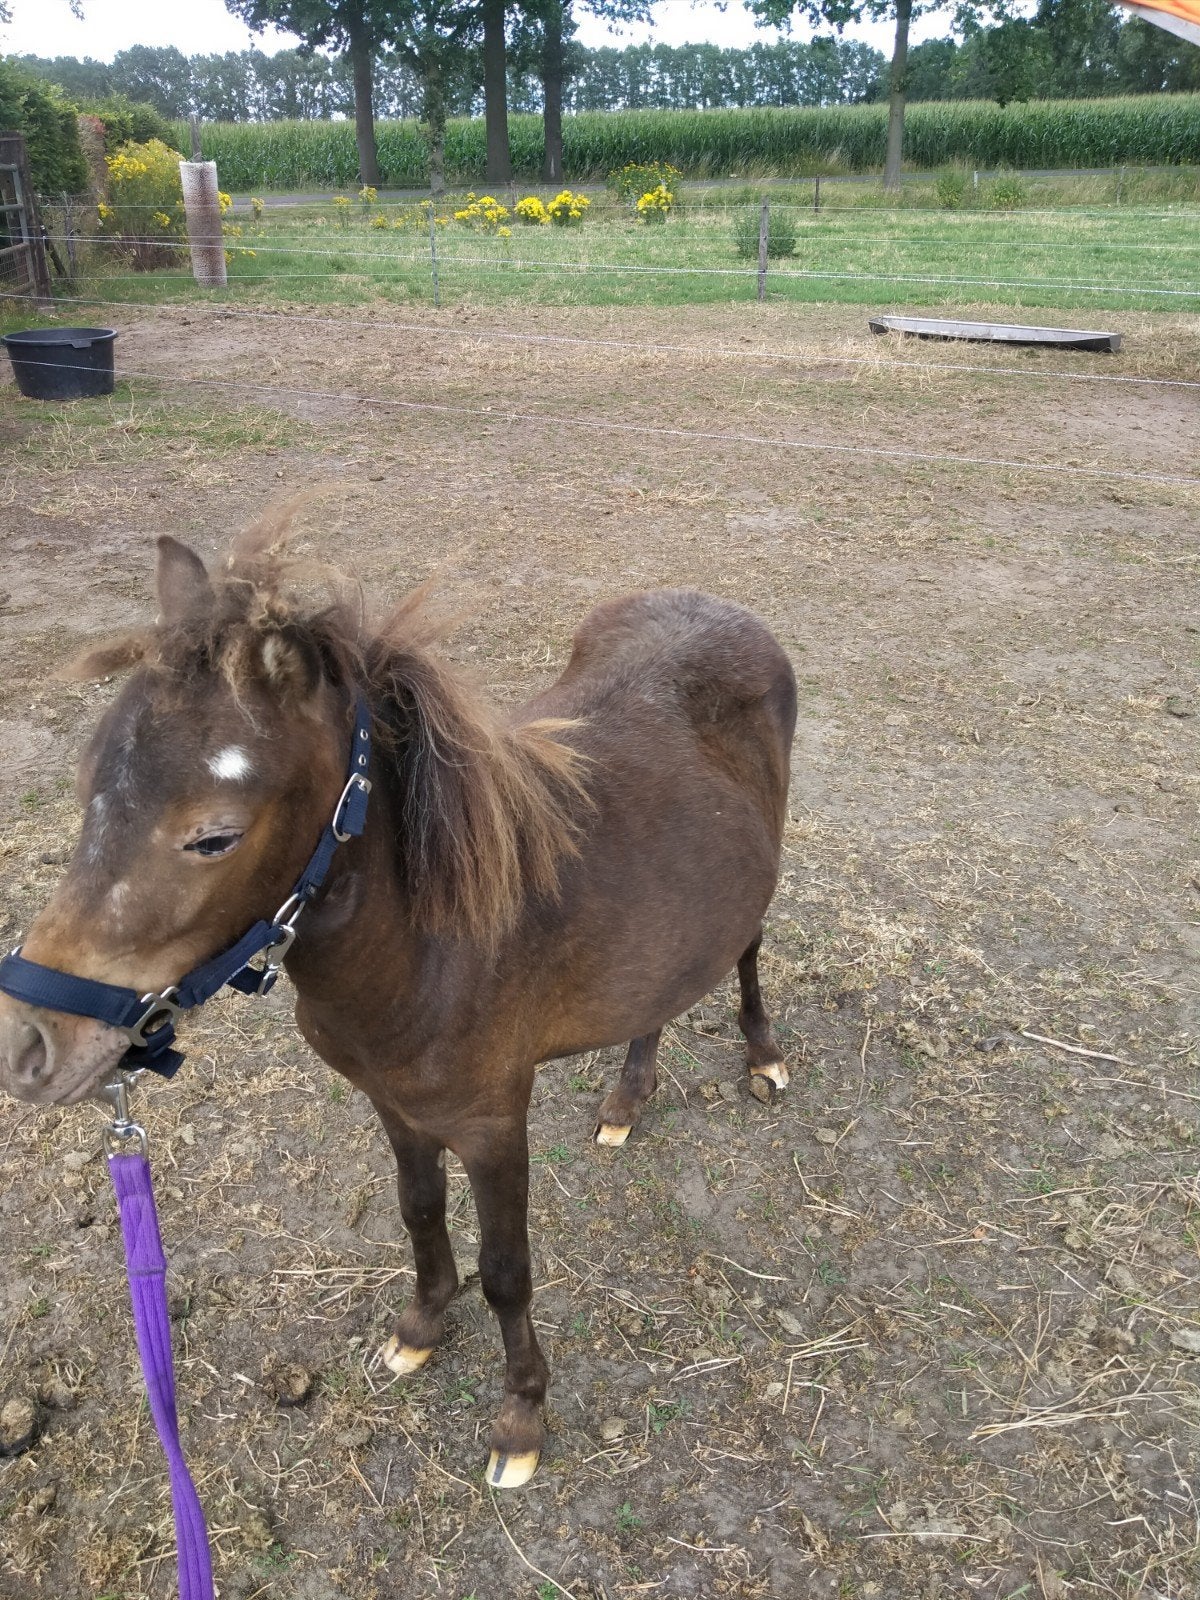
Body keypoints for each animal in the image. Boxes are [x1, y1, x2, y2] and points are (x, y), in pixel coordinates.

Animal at [0, 515, 797, 1489]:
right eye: (87, 791)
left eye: (213, 837)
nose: (29, 1046)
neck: (424, 952)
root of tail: (724, 611)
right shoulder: (393, 1104)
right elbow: (419, 1213)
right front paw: (422, 1326)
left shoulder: (493, 1125)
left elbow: (507, 1270)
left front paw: (521, 1416)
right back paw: (625, 1099)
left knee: (747, 950)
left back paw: (762, 1055)